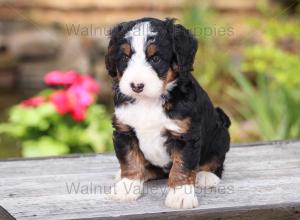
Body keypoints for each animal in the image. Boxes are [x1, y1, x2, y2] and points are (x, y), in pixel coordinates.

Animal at [104, 18, 231, 209]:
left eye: (156, 58)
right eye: (125, 57)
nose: (136, 86)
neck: (148, 102)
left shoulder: (185, 135)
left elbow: (182, 167)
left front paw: (181, 195)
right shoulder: (124, 130)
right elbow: (130, 160)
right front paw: (127, 186)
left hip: (221, 134)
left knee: (216, 160)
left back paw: (206, 176)